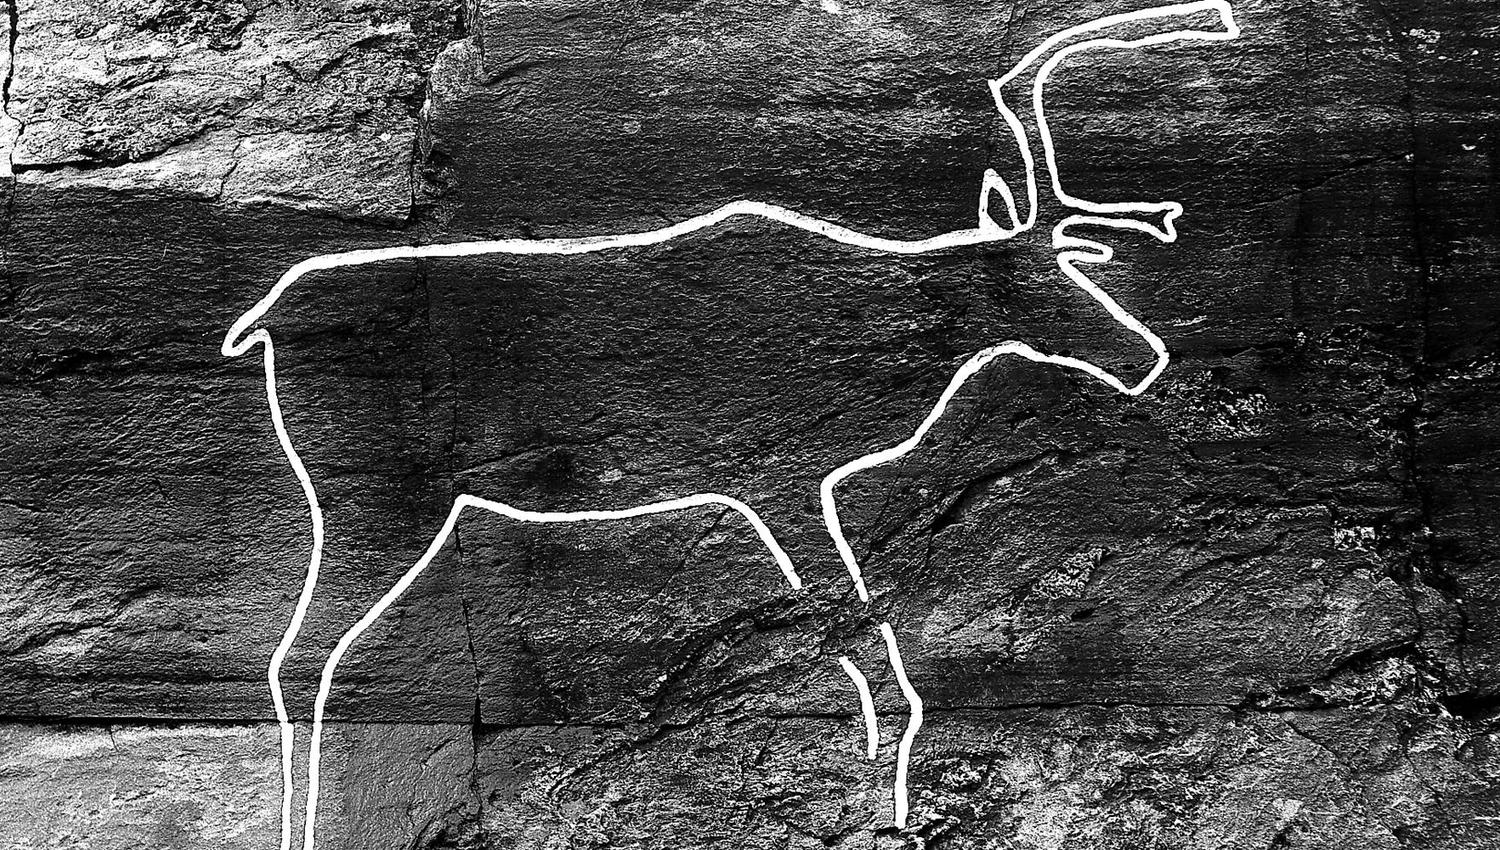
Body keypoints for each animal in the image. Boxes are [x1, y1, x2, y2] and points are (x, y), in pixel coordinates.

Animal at [221, 3, 1240, 847]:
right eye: (1034, 281)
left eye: (1080, 264)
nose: (1143, 354)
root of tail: (262, 318)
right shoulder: (785, 475)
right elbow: (868, 652)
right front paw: (889, 808)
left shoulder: (782, 487)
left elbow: (855, 653)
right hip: (372, 500)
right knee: (296, 661)